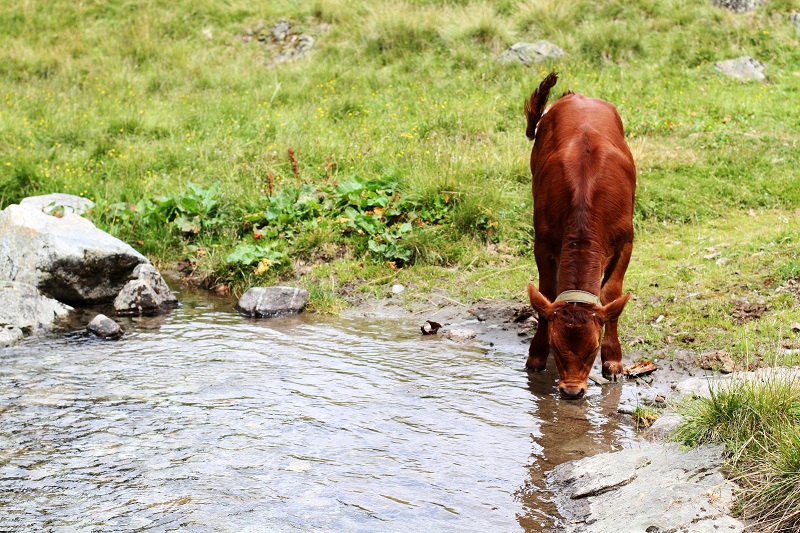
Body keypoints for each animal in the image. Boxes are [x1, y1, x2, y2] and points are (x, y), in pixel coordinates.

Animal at [524, 74, 636, 400]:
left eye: (593, 349)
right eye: (556, 347)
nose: (572, 392)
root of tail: (577, 96)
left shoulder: (626, 240)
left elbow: (611, 294)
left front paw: (613, 361)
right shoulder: (543, 242)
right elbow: (547, 292)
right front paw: (537, 355)